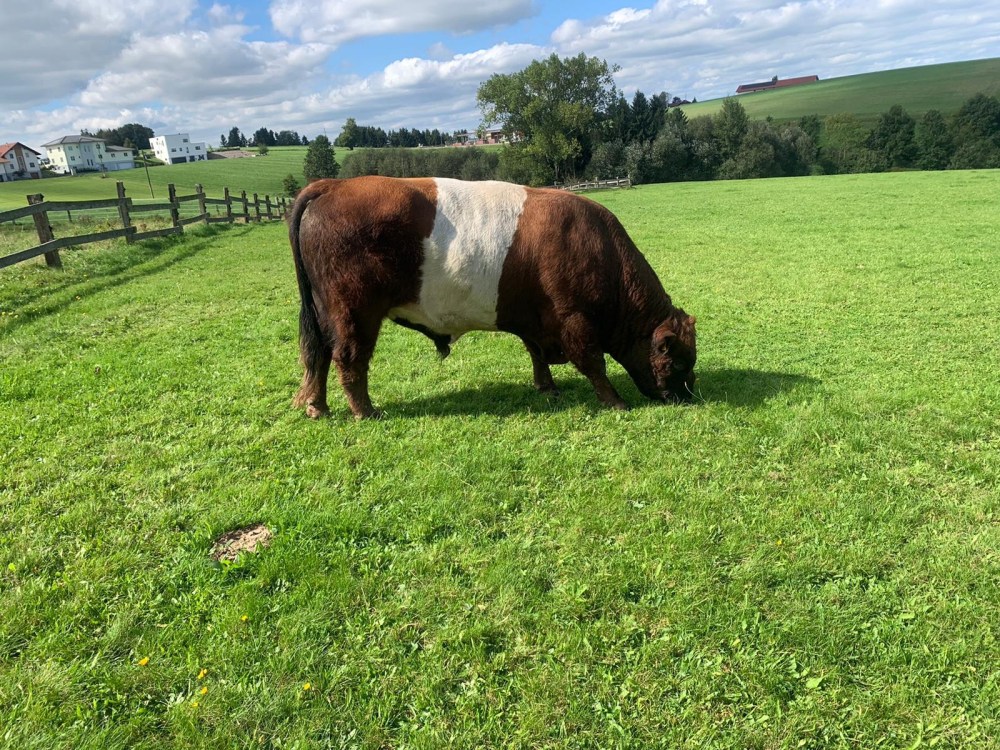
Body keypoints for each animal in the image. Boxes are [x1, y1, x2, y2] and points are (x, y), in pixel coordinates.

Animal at [288, 176, 697, 419]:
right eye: (678, 362)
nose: (687, 397)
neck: (601, 249)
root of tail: (332, 185)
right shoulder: (575, 320)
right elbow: (593, 363)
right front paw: (615, 401)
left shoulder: (535, 320)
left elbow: (536, 354)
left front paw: (547, 387)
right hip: (355, 313)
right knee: (348, 358)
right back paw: (366, 412)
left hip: (325, 315)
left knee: (318, 355)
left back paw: (318, 408)